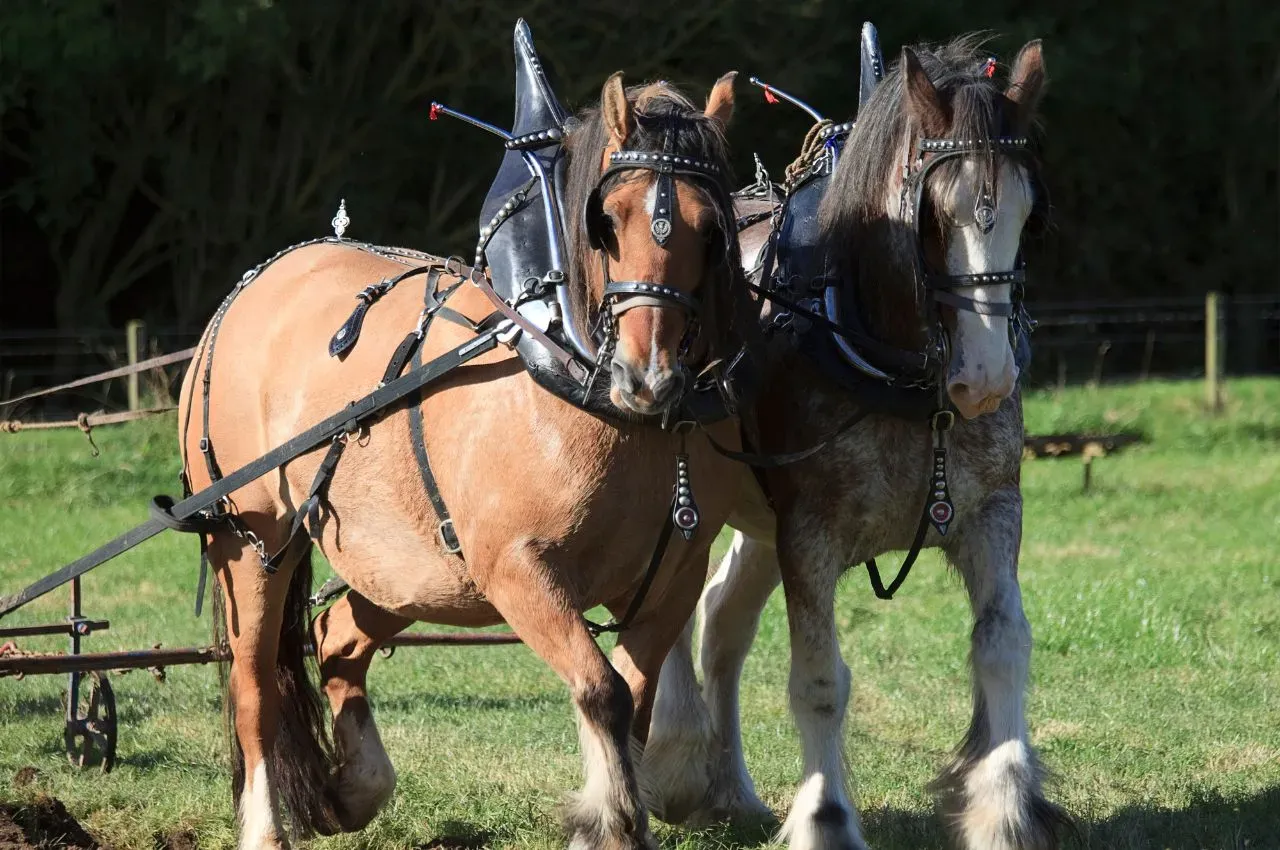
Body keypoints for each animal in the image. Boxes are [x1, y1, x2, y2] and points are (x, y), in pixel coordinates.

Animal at [178, 70, 757, 850]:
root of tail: (254, 285)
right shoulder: (519, 569)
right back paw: (267, 826)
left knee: (337, 640)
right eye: (608, 220)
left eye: (712, 230)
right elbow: (602, 692)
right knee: (254, 688)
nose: (650, 377)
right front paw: (610, 815)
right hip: (252, 542)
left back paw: (355, 788)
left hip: (413, 571)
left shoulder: (669, 581)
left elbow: (634, 705)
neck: (580, 382)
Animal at [642, 36, 1071, 850]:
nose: (985, 378)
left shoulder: (993, 511)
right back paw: (675, 764)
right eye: (931, 215)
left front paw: (1003, 808)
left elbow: (1003, 644)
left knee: (721, 624)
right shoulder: (808, 533)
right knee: (671, 614)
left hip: (759, 523)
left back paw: (730, 789)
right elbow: (819, 682)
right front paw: (826, 818)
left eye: (1030, 217)